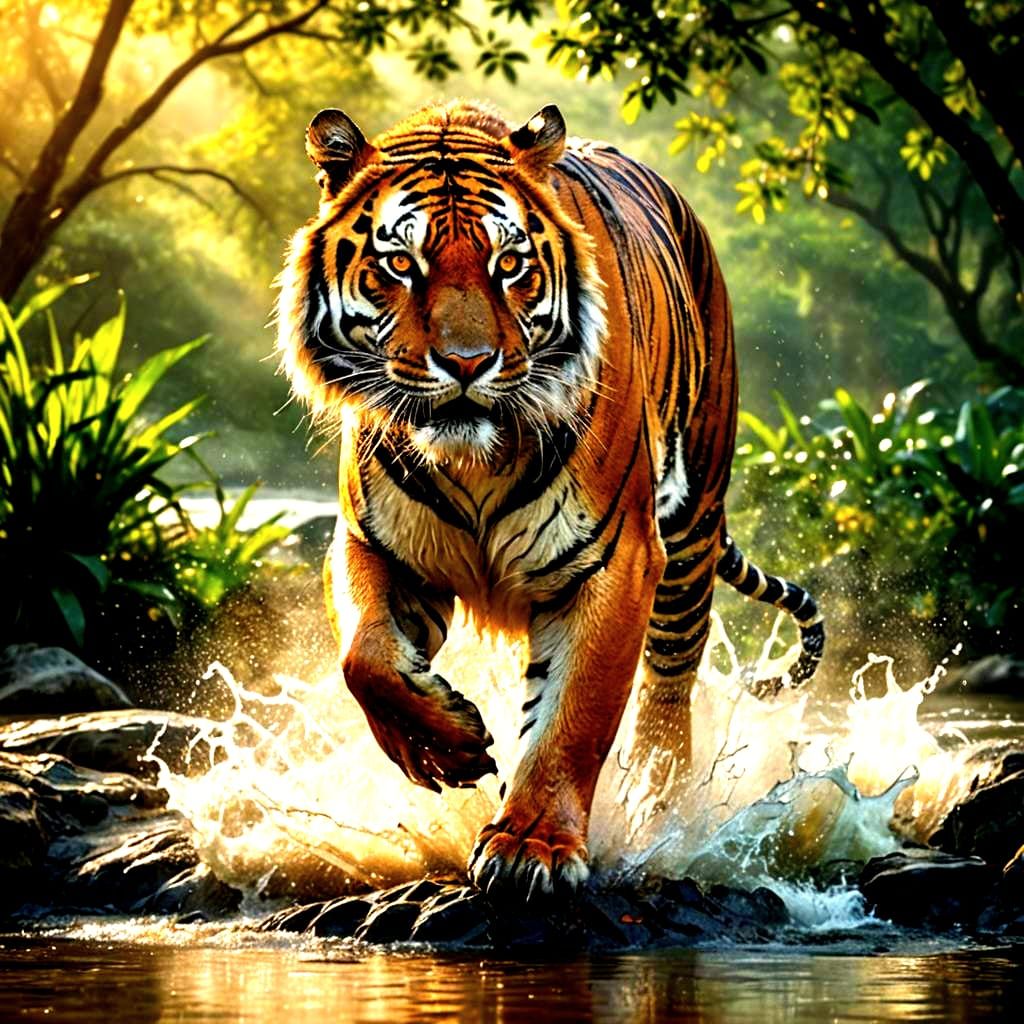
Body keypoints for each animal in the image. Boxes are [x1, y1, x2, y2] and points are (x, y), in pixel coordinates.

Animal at [276, 100, 825, 900]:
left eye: (509, 266)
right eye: (401, 265)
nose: (468, 364)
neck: (474, 456)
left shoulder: (616, 562)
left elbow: (573, 716)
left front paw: (530, 846)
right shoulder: (374, 542)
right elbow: (366, 655)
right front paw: (444, 747)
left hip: (691, 530)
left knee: (668, 694)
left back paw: (659, 812)